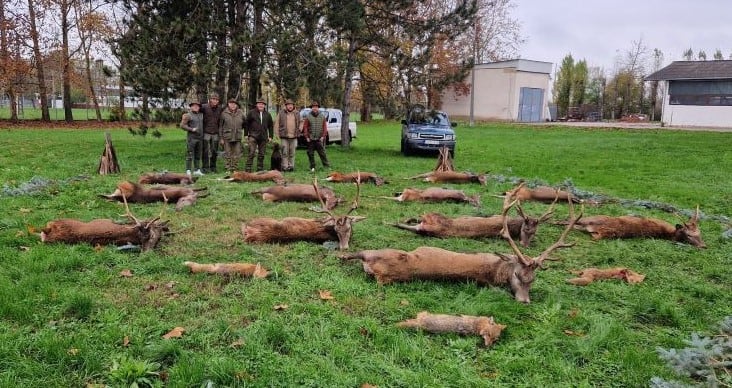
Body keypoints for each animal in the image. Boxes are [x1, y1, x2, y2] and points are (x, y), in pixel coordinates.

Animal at [394, 197, 556, 246]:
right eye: (526, 229)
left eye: (534, 232)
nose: (525, 244)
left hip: (432, 217)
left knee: (418, 222)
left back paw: (396, 222)